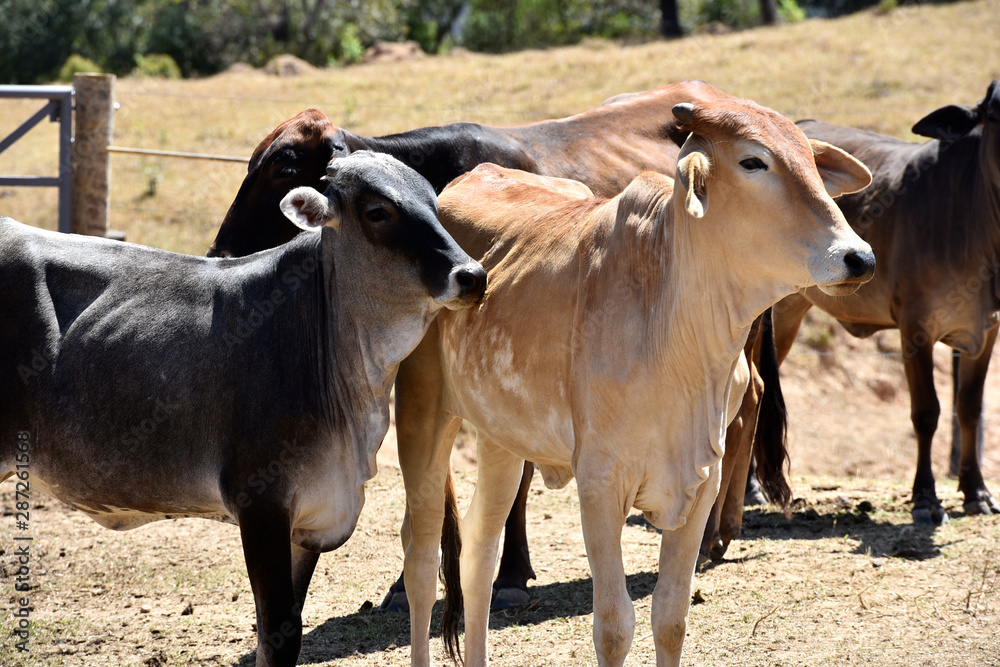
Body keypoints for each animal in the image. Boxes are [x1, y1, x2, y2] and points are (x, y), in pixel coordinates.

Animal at [0, 151, 486, 667]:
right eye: (378, 212)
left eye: (434, 203)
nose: (473, 275)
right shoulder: (261, 502)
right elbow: (277, 633)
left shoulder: (310, 520)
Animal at [398, 96, 876, 664]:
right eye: (753, 161)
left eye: (811, 161)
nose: (858, 257)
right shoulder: (600, 482)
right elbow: (613, 625)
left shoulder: (700, 483)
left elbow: (670, 617)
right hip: (423, 415)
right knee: (421, 560)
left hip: (502, 440)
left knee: (478, 555)